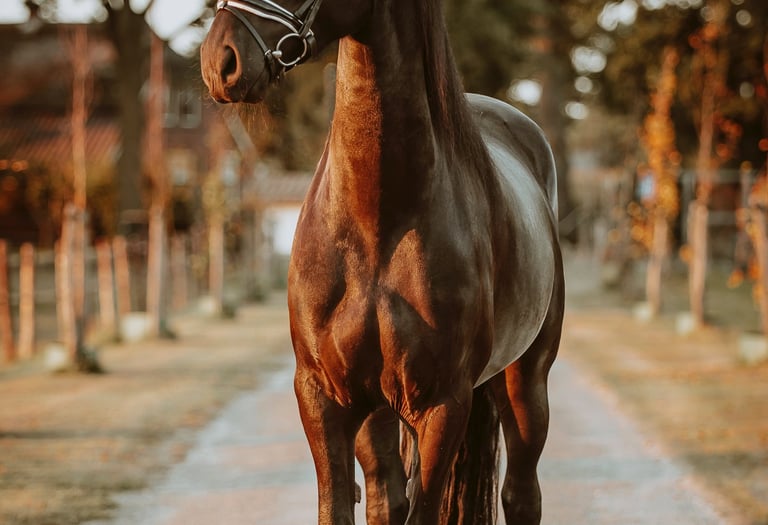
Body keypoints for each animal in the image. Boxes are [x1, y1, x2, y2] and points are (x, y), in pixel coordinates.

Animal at [200, 1, 564, 523]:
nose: (220, 58)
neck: (377, 221)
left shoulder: (443, 404)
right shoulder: (324, 397)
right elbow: (341, 506)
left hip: (526, 381)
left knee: (520, 494)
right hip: (379, 411)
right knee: (386, 495)